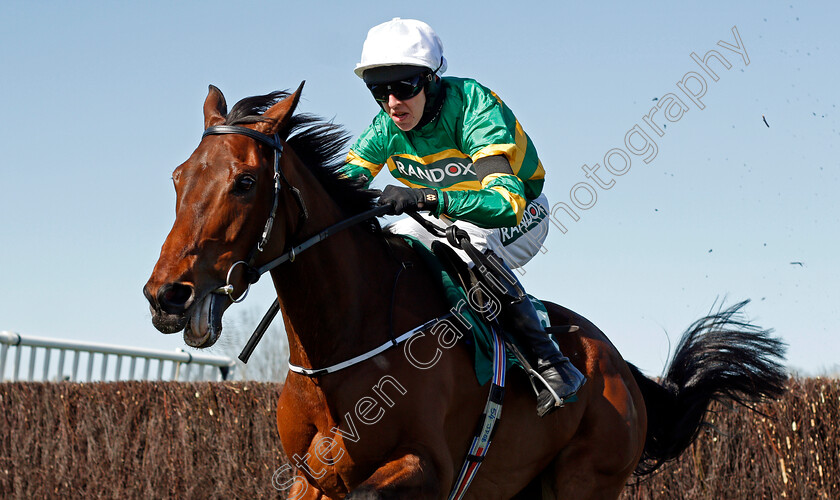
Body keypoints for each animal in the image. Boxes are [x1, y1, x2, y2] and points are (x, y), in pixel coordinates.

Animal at [143, 84, 788, 498]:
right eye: (178, 176)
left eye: (245, 182)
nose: (167, 296)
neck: (345, 345)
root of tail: (621, 369)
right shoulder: (312, 476)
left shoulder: (426, 468)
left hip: (585, 480)